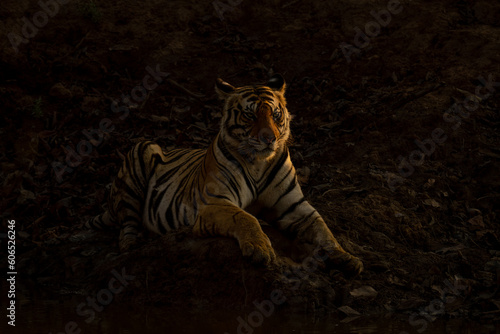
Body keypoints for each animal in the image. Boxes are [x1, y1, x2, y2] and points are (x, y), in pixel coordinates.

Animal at [87, 75, 364, 276]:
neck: (258, 162)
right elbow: (244, 218)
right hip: (143, 149)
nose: (269, 138)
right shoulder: (214, 202)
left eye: (276, 115)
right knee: (127, 225)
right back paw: (133, 242)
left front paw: (346, 257)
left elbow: (322, 228)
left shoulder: (296, 207)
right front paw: (260, 248)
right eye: (250, 115)